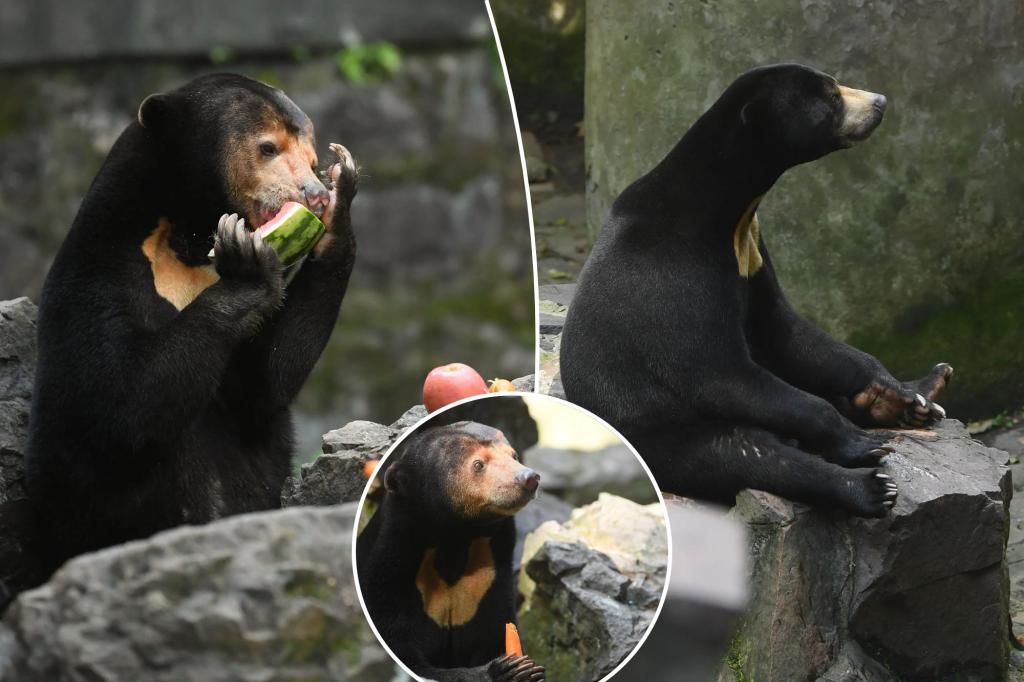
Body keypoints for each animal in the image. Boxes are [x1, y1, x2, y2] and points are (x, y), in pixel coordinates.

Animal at [24, 71, 360, 577]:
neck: (186, 237)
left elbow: (264, 382)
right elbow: (118, 404)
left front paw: (339, 206)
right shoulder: (94, 277)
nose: (314, 194)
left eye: (313, 157)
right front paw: (248, 265)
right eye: (267, 148)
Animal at [356, 419, 544, 679]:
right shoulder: (389, 576)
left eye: (514, 455)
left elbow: (495, 630)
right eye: (478, 464)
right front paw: (505, 670)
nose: (529, 478)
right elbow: (407, 654)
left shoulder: (488, 578)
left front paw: (524, 668)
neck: (456, 538)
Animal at [561, 63, 950, 516]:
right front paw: (861, 441)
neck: (731, 215)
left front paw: (905, 396)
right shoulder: (673, 278)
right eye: (832, 97)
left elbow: (789, 334)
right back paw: (870, 483)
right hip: (658, 434)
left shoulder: (753, 255)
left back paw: (920, 394)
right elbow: (721, 374)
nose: (880, 102)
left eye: (835, 85)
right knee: (748, 456)